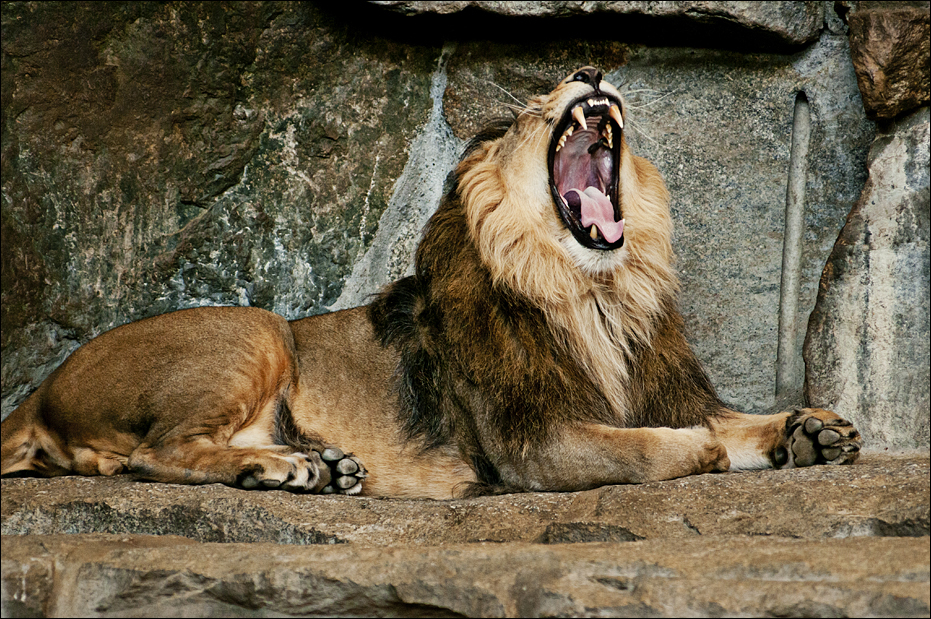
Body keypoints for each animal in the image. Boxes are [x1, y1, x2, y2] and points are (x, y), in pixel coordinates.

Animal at [1, 67, 861, 499]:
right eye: (523, 111)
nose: (589, 70)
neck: (594, 292)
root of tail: (37, 393)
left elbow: (733, 421)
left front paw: (808, 429)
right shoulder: (530, 446)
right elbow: (653, 445)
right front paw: (701, 448)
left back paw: (322, 466)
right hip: (254, 327)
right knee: (153, 456)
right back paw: (284, 468)